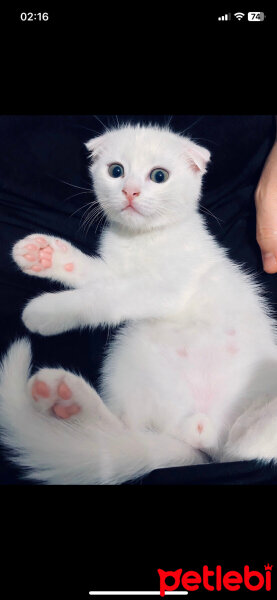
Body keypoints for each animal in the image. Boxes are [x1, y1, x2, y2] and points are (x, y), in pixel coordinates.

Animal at [0, 124, 276, 486]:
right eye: (116, 171)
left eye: (159, 175)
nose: (130, 191)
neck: (142, 241)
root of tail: (203, 434)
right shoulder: (117, 270)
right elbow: (96, 277)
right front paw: (45, 256)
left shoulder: (165, 286)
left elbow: (109, 296)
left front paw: (48, 310)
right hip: (128, 358)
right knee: (120, 434)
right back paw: (67, 400)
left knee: (243, 447)